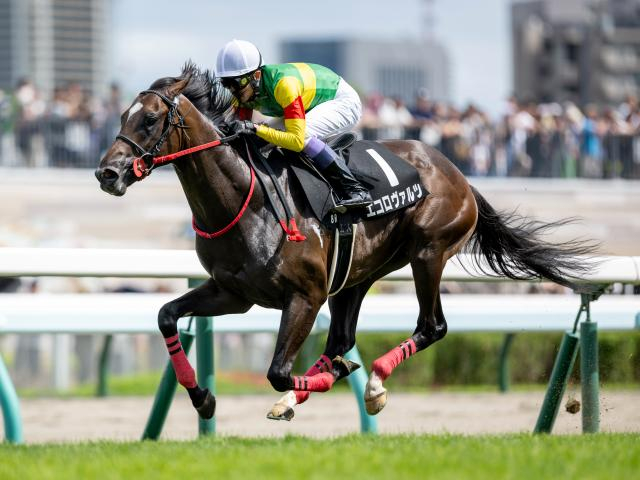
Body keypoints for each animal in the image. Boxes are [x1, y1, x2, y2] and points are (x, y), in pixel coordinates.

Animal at [95, 63, 596, 421]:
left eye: (151, 119)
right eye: (122, 116)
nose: (107, 173)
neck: (245, 200)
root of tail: (458, 174)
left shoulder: (305, 296)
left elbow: (278, 371)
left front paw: (336, 378)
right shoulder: (233, 293)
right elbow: (166, 315)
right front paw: (203, 398)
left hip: (428, 252)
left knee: (431, 326)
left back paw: (372, 383)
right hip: (356, 275)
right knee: (341, 337)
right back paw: (318, 390)